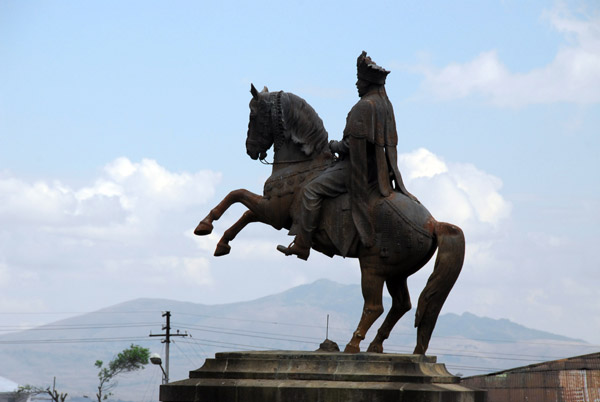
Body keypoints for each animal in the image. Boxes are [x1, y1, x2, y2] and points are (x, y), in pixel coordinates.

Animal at [193, 85, 464, 354]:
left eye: (253, 115)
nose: (250, 149)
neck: (302, 164)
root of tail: (433, 223)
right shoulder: (270, 211)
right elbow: (244, 210)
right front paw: (221, 242)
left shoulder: (273, 212)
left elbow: (236, 196)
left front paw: (206, 226)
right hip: (397, 273)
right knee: (401, 305)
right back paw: (375, 345)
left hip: (373, 267)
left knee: (375, 306)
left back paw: (353, 345)